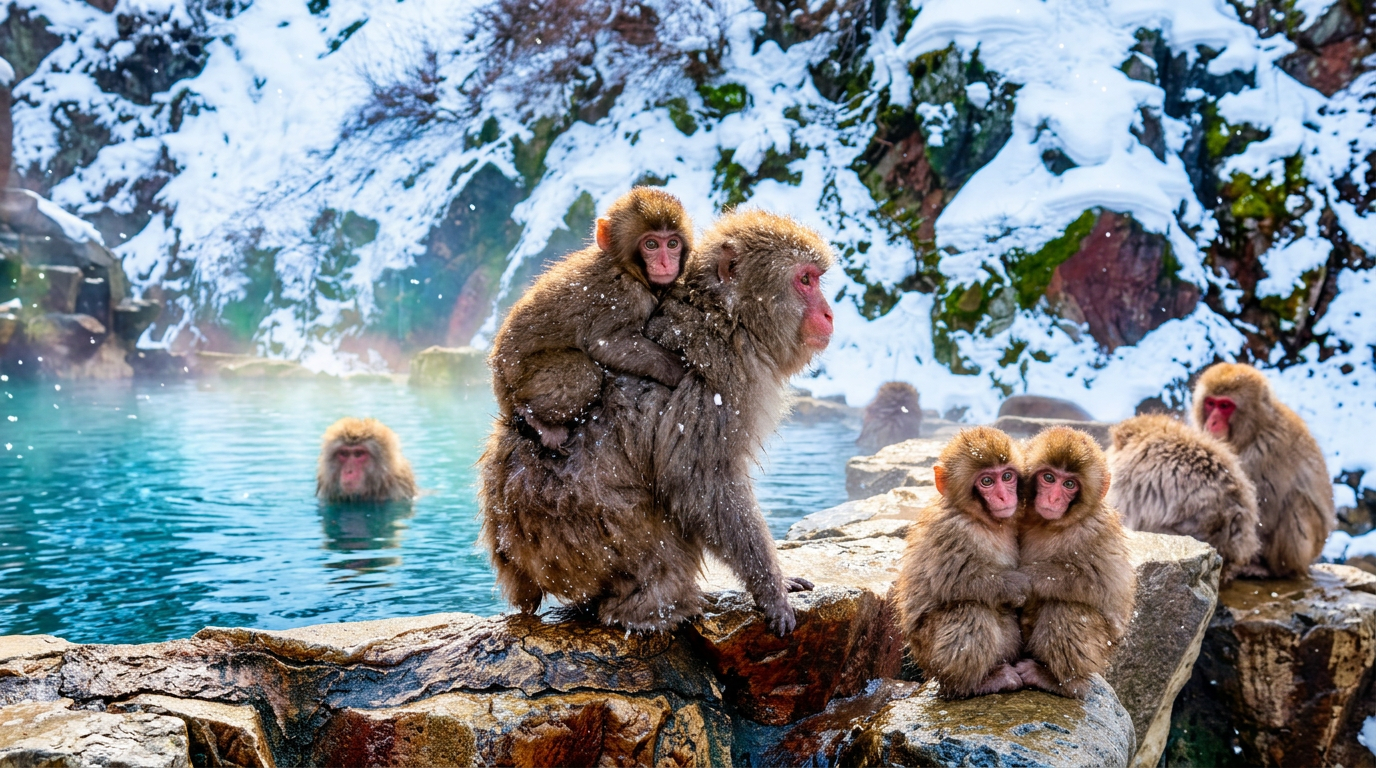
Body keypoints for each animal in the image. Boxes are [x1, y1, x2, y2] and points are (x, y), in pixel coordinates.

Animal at [488, 187, 693, 451]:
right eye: (651, 244)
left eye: (672, 243)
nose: (666, 262)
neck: (626, 268)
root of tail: (498, 382)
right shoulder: (623, 296)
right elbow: (606, 344)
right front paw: (675, 368)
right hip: (519, 380)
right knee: (582, 373)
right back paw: (536, 419)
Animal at [894, 426, 1029, 698]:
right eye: (987, 481)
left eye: (1007, 476)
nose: (1003, 496)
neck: (983, 520)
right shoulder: (952, 530)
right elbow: (956, 583)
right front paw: (1017, 586)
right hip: (930, 656)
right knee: (970, 609)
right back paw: (973, 684)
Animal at [1015, 426, 1135, 699]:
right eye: (1049, 478)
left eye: (1069, 484)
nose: (1053, 498)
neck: (1051, 523)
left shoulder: (1094, 529)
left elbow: (1103, 586)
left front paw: (1030, 577)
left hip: (1099, 655)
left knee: (1067, 608)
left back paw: (1058, 681)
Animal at [1191, 362, 1336, 579]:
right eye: (1210, 403)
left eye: (1225, 406)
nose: (1212, 422)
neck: (1255, 430)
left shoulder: (1267, 451)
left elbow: (1261, 515)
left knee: (1296, 501)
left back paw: (1272, 569)